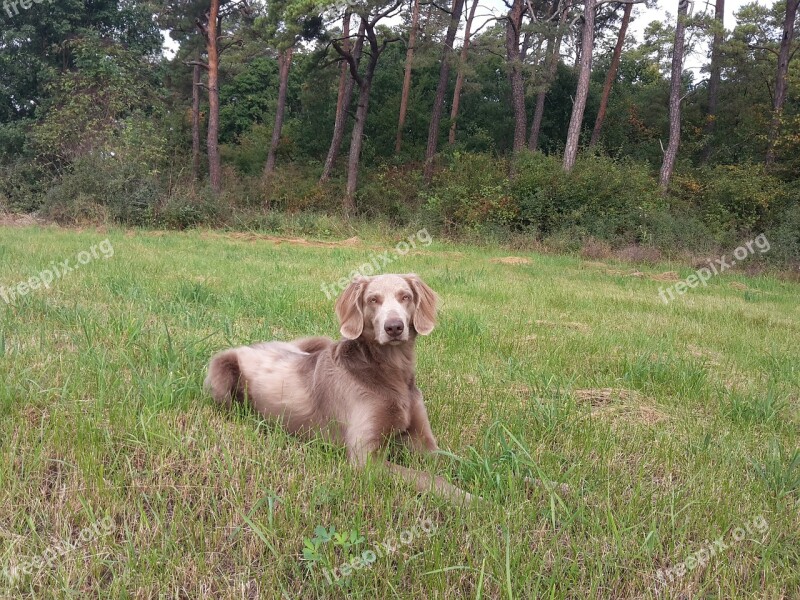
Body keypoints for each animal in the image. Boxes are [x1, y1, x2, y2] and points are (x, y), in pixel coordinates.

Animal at [203, 274, 472, 504]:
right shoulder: (365, 459)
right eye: (372, 299)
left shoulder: (424, 442)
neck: (390, 372)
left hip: (317, 341)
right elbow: (428, 477)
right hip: (220, 372)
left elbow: (458, 461)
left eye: (405, 296)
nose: (394, 327)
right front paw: (472, 501)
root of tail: (252, 344)